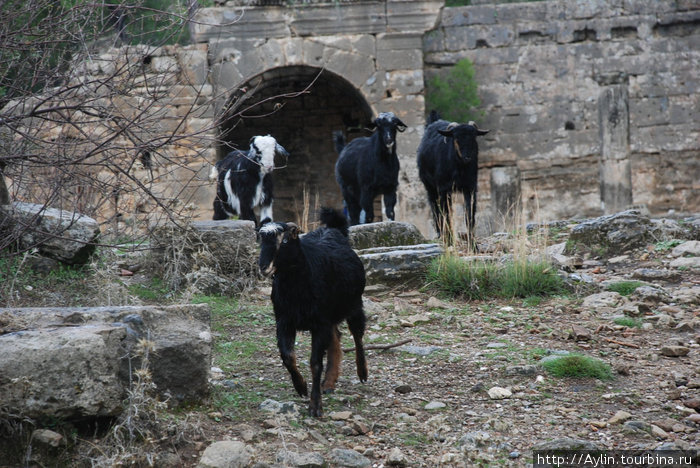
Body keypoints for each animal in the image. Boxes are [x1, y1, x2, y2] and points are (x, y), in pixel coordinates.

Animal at [256, 208, 366, 416]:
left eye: (285, 241)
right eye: (261, 240)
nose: (264, 267)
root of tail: (333, 229)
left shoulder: (319, 323)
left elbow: (315, 363)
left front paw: (315, 406)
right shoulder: (284, 321)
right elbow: (287, 357)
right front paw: (301, 387)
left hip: (354, 304)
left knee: (357, 336)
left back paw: (363, 372)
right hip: (330, 316)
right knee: (336, 339)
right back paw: (329, 382)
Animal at [418, 119, 490, 247]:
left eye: (474, 137)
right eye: (456, 137)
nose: (467, 157)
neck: (460, 168)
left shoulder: (470, 188)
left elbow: (469, 214)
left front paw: (473, 245)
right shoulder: (443, 188)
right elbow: (445, 213)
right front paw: (449, 240)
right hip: (430, 187)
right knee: (436, 209)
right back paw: (442, 235)